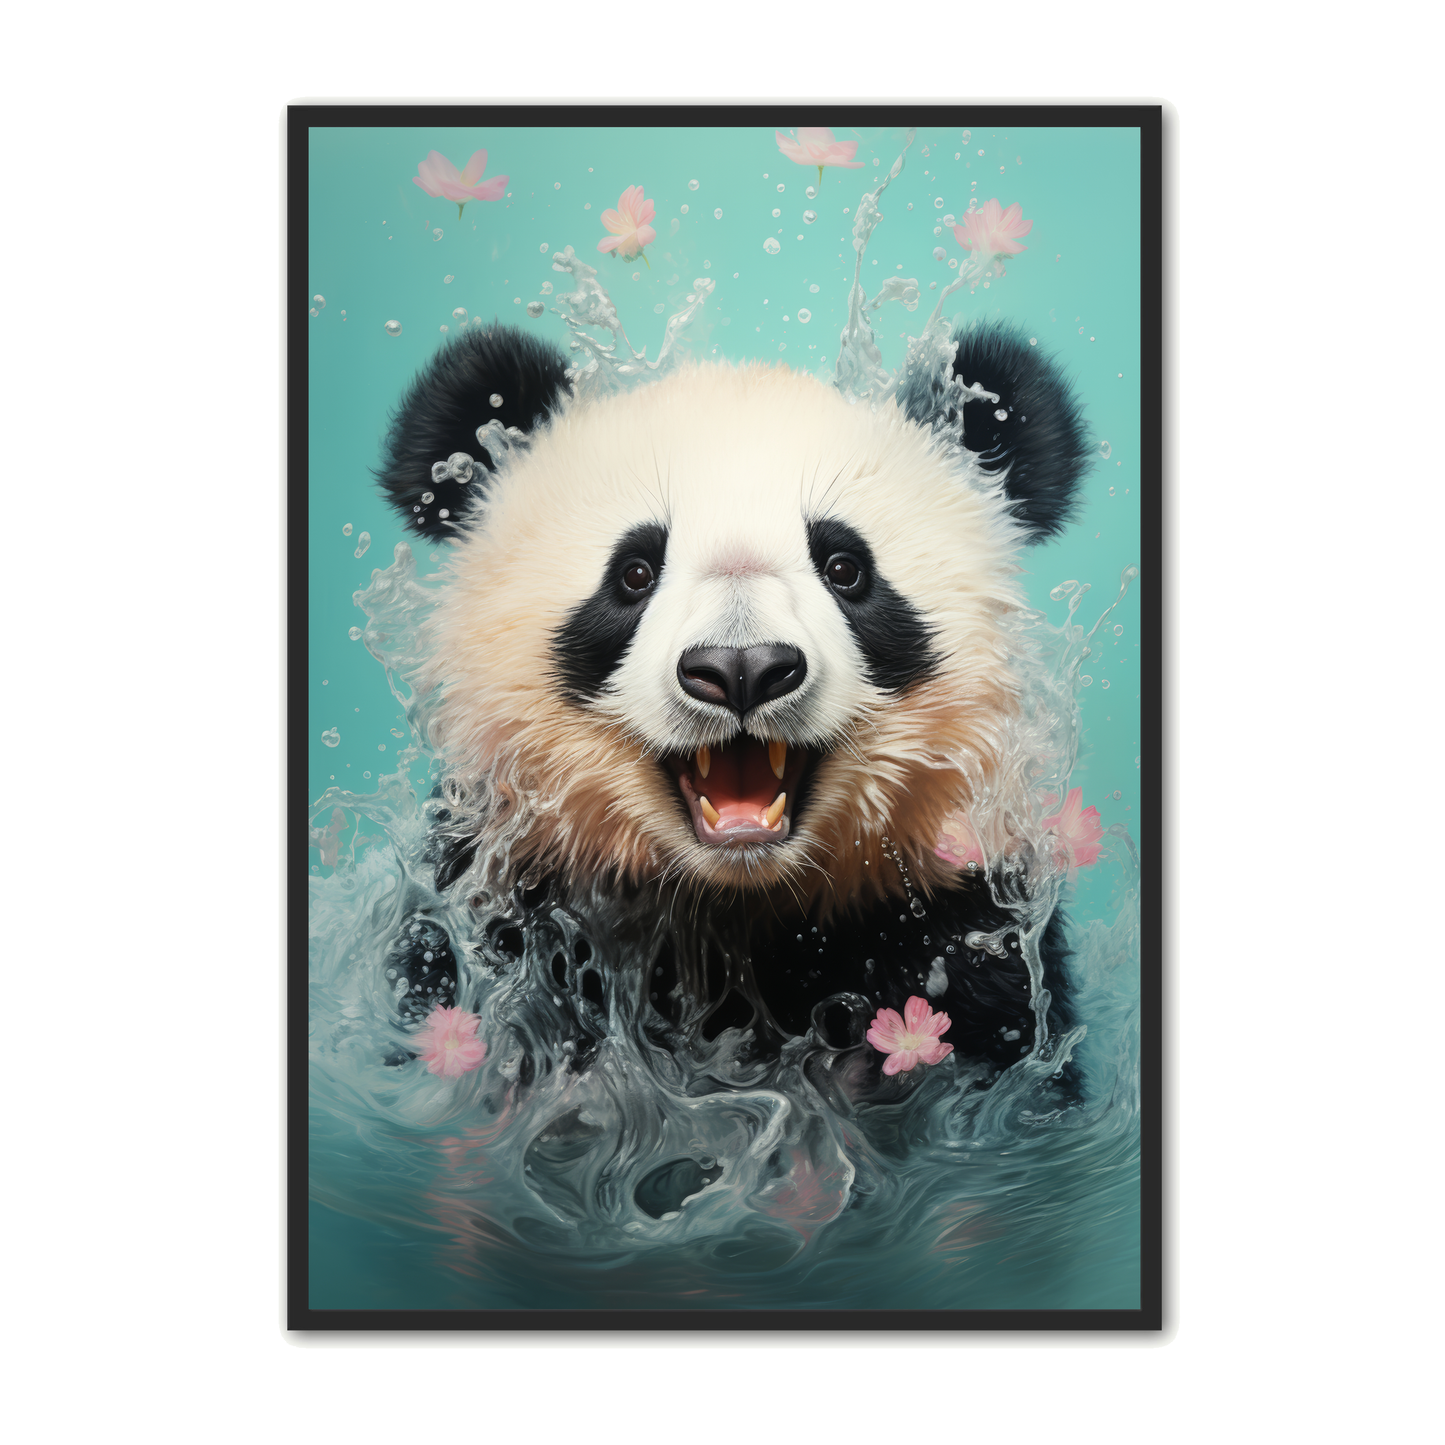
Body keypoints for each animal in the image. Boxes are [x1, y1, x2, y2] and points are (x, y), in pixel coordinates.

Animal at [372, 321, 1091, 1096]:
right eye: (633, 573)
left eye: (845, 568)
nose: (741, 669)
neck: (734, 907)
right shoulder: (500, 907)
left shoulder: (957, 913)